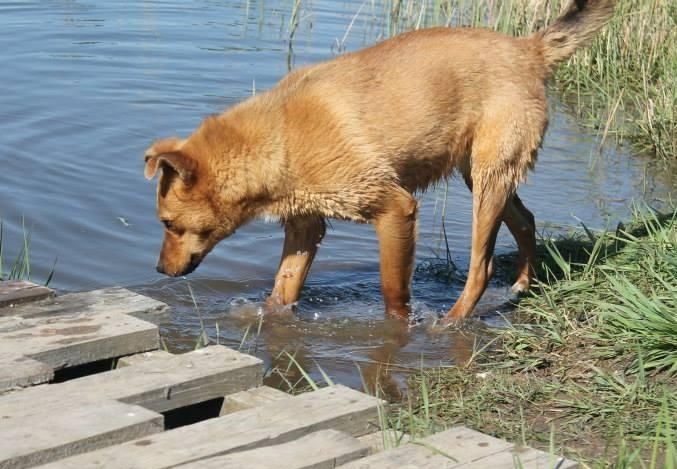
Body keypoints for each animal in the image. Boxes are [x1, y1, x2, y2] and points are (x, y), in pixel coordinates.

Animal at [145, 0, 616, 322]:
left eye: (168, 223)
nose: (160, 269)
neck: (279, 138)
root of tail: (528, 49)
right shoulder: (305, 225)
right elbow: (283, 289)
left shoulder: (395, 209)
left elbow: (393, 293)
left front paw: (399, 331)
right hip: (486, 175)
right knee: (526, 221)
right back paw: (520, 285)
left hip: (488, 182)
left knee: (480, 266)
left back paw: (452, 321)